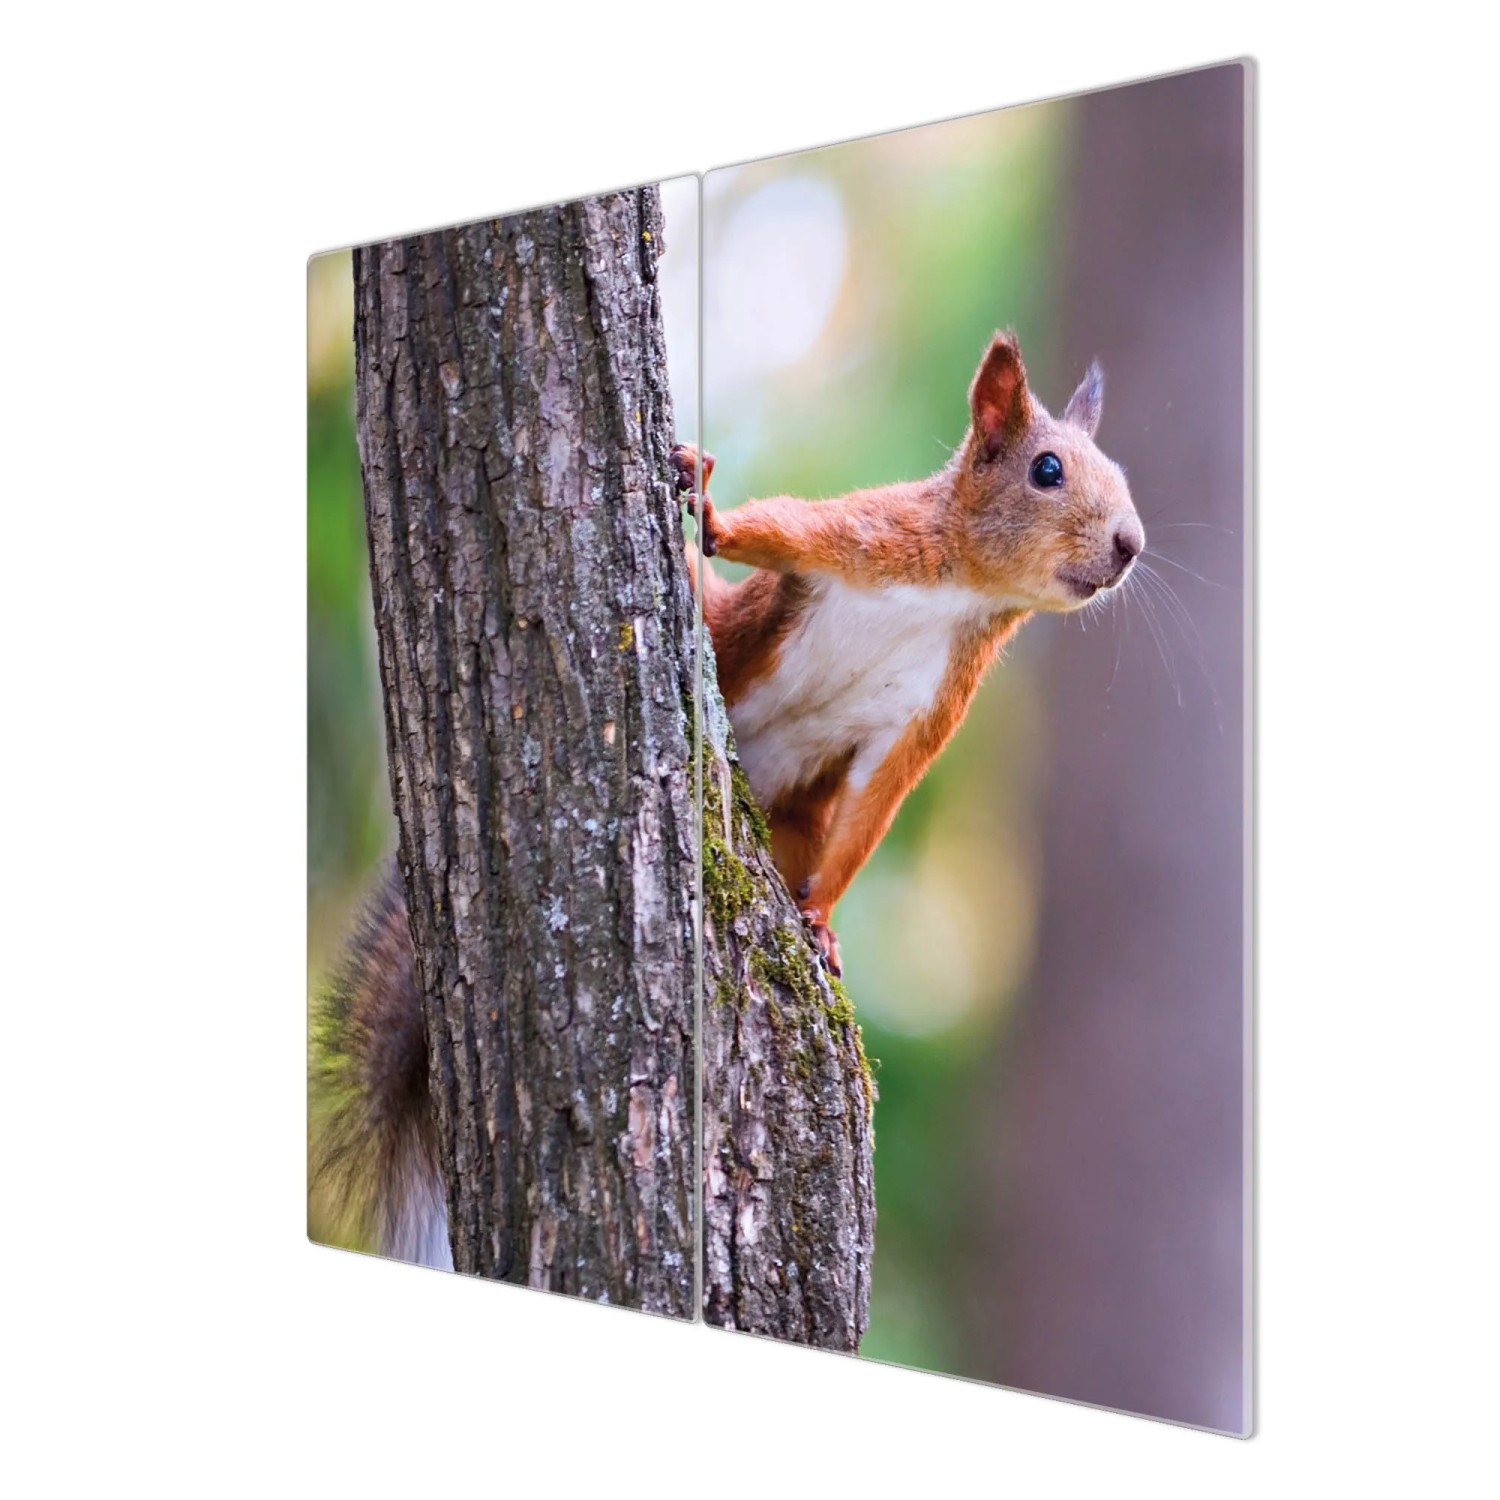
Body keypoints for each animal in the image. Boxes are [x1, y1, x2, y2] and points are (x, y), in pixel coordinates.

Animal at [311, 329, 1140, 1264]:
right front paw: (703, 507)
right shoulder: (867, 537)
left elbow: (874, 808)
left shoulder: (929, 711)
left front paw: (821, 920)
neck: (963, 590)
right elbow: (774, 531)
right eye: (1047, 470)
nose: (1131, 543)